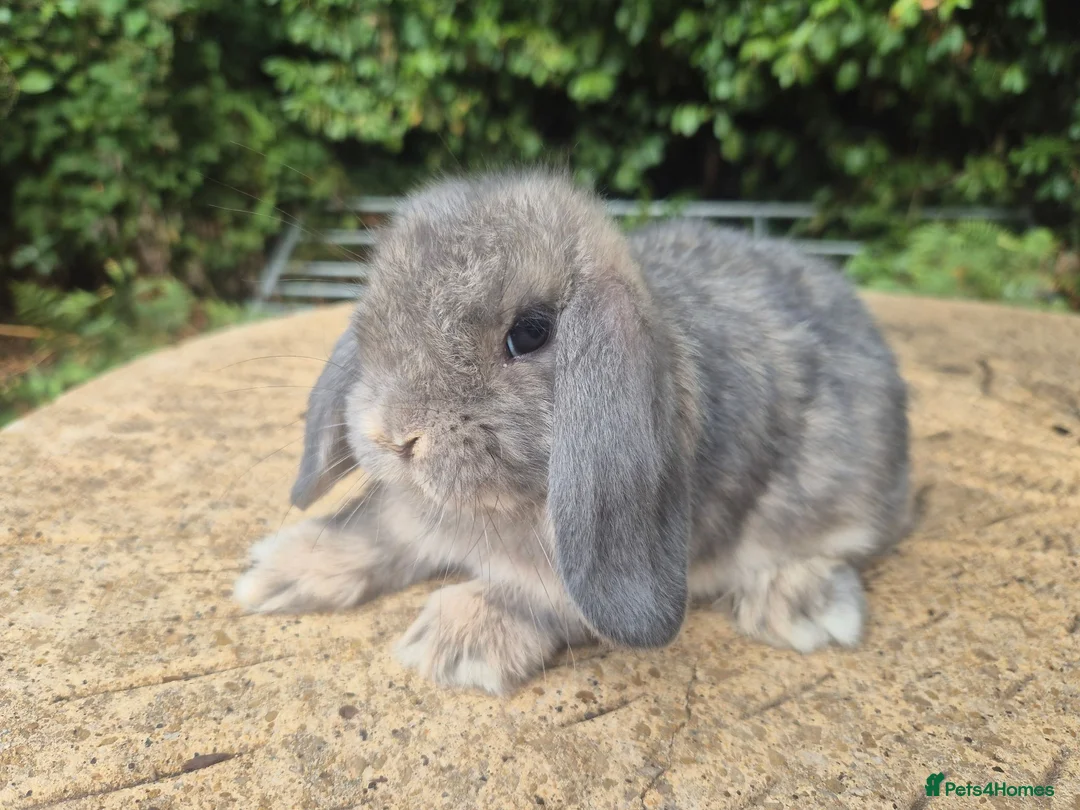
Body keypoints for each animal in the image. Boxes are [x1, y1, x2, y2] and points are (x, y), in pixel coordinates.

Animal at [233, 168, 910, 695]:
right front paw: (278, 569)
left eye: (531, 332)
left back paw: (800, 605)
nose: (393, 436)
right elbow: (375, 529)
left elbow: (544, 600)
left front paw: (454, 641)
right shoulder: (407, 514)